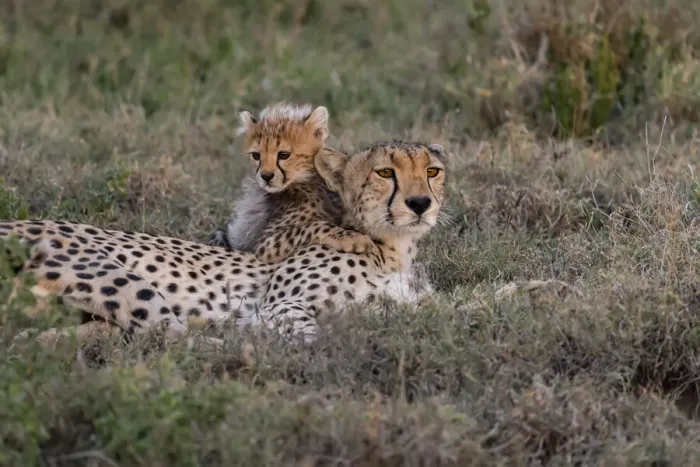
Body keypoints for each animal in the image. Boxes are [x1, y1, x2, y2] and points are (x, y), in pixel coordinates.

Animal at [0, 139, 447, 345]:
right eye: (385, 172)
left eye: (432, 171)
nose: (420, 203)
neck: (394, 248)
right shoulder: (278, 305)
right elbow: (307, 335)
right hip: (114, 276)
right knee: (173, 337)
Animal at [208, 101, 377, 263]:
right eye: (256, 155)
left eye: (284, 155)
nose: (266, 176)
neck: (304, 182)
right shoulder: (264, 245)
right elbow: (314, 225)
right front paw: (354, 238)